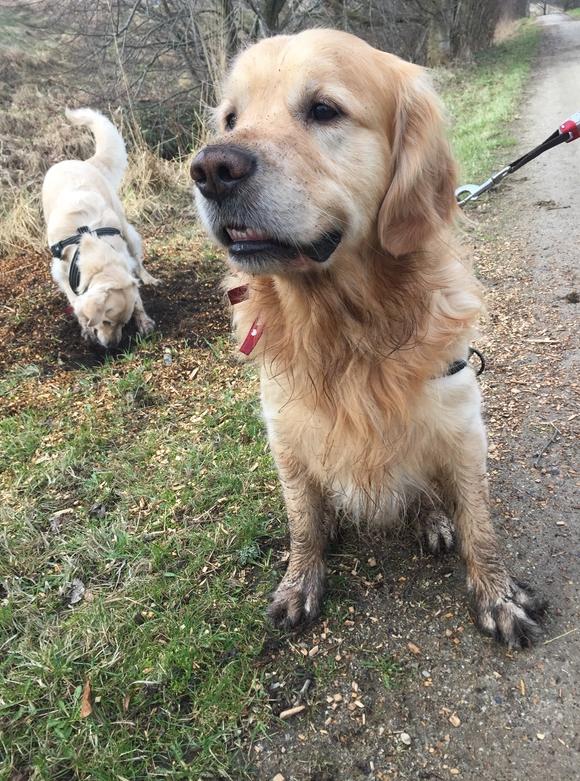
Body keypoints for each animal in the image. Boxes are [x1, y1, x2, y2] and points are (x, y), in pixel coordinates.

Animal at [42, 107, 157, 348]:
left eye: (123, 323)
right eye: (105, 322)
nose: (113, 346)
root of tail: (82, 161)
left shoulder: (125, 262)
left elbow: (137, 295)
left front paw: (144, 321)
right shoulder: (60, 272)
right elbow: (74, 299)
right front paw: (86, 328)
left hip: (127, 230)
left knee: (139, 261)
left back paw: (149, 279)